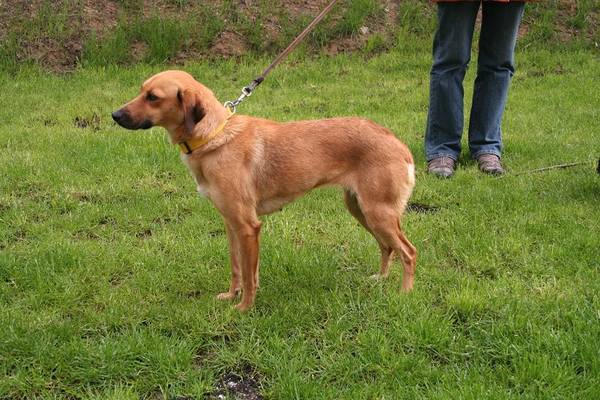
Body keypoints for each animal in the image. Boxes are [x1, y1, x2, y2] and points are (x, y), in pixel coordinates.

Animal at [112, 70, 417, 311]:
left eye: (153, 97)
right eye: (141, 90)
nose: (115, 115)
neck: (214, 137)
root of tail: (397, 143)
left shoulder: (248, 227)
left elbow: (249, 276)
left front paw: (244, 308)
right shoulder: (231, 223)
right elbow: (237, 268)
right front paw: (230, 296)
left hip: (377, 213)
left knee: (408, 251)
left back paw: (404, 294)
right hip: (361, 209)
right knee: (387, 247)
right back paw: (381, 279)